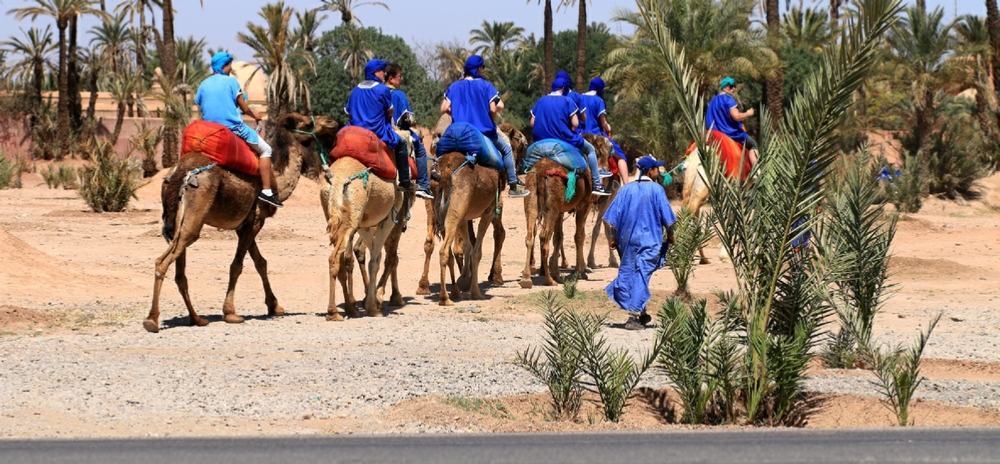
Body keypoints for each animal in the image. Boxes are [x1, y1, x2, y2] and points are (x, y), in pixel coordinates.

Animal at [145, 113, 338, 334]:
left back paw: (197, 319)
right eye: (306, 122)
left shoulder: (245, 224)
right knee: (163, 261)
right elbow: (237, 265)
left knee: (180, 272)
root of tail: (180, 171)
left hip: (178, 222)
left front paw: (275, 306)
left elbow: (260, 262)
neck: (277, 181)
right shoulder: (255, 221)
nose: (331, 121)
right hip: (194, 215)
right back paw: (152, 320)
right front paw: (231, 313)